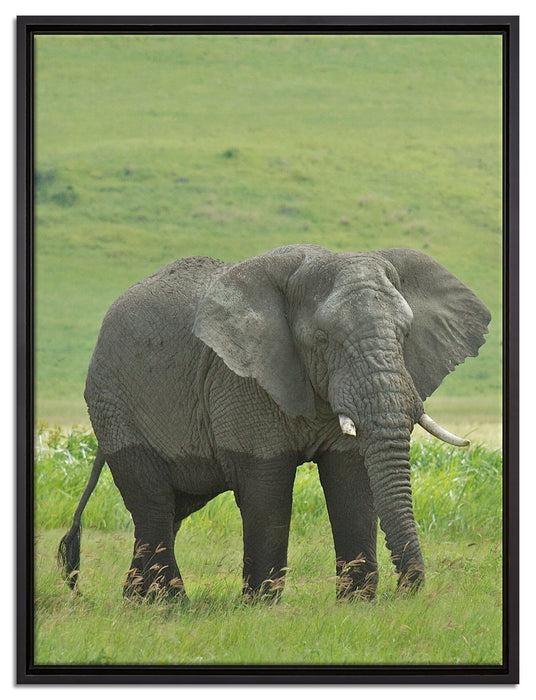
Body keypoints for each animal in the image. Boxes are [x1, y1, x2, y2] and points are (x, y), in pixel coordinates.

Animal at [58, 244, 490, 602]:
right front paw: (261, 606)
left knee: (173, 510)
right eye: (322, 339)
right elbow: (266, 486)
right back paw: (170, 604)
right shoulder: (239, 378)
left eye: (405, 334)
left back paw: (137, 601)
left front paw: (356, 604)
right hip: (115, 404)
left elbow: (351, 479)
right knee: (154, 504)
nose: (405, 591)